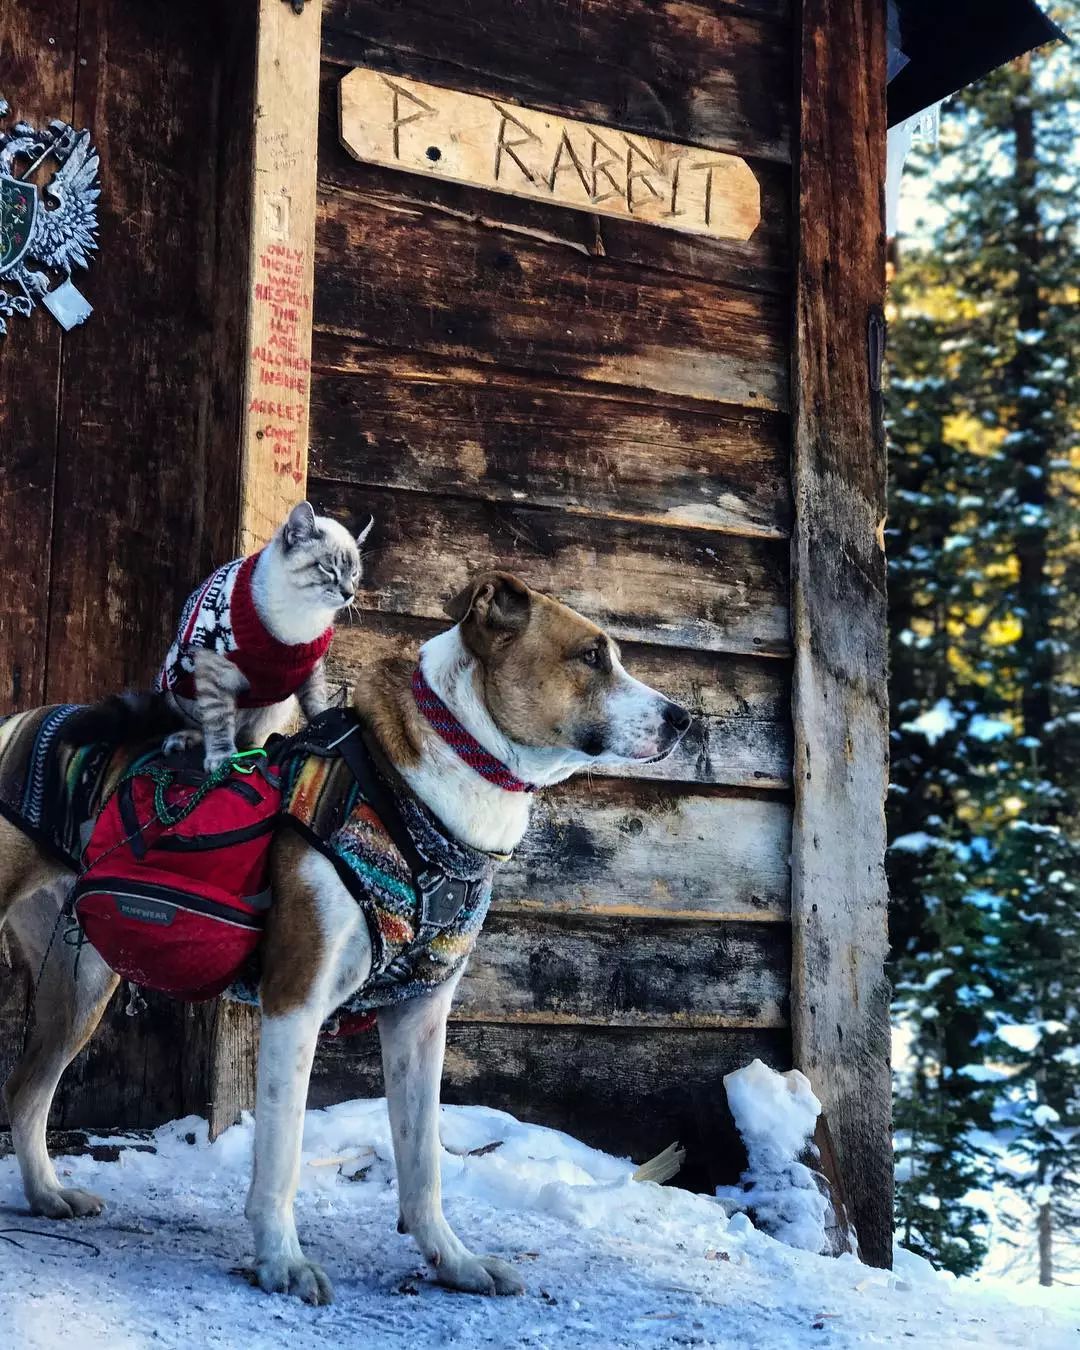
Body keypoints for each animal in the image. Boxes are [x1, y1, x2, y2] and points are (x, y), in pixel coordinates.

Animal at [0, 575, 691, 1301]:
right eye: (591, 656)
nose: (683, 719)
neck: (420, 801)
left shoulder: (419, 1019)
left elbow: (423, 1162)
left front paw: (453, 1260)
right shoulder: (295, 1002)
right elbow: (281, 1155)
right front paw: (282, 1262)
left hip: (80, 984)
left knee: (27, 1090)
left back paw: (47, 1194)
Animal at [153, 502, 369, 772]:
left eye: (355, 574)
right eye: (328, 569)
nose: (349, 594)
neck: (302, 614)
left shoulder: (310, 666)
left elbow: (318, 706)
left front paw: (328, 731)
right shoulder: (215, 672)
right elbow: (219, 721)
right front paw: (222, 759)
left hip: (276, 706)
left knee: (251, 737)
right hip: (182, 696)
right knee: (212, 725)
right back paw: (185, 740)